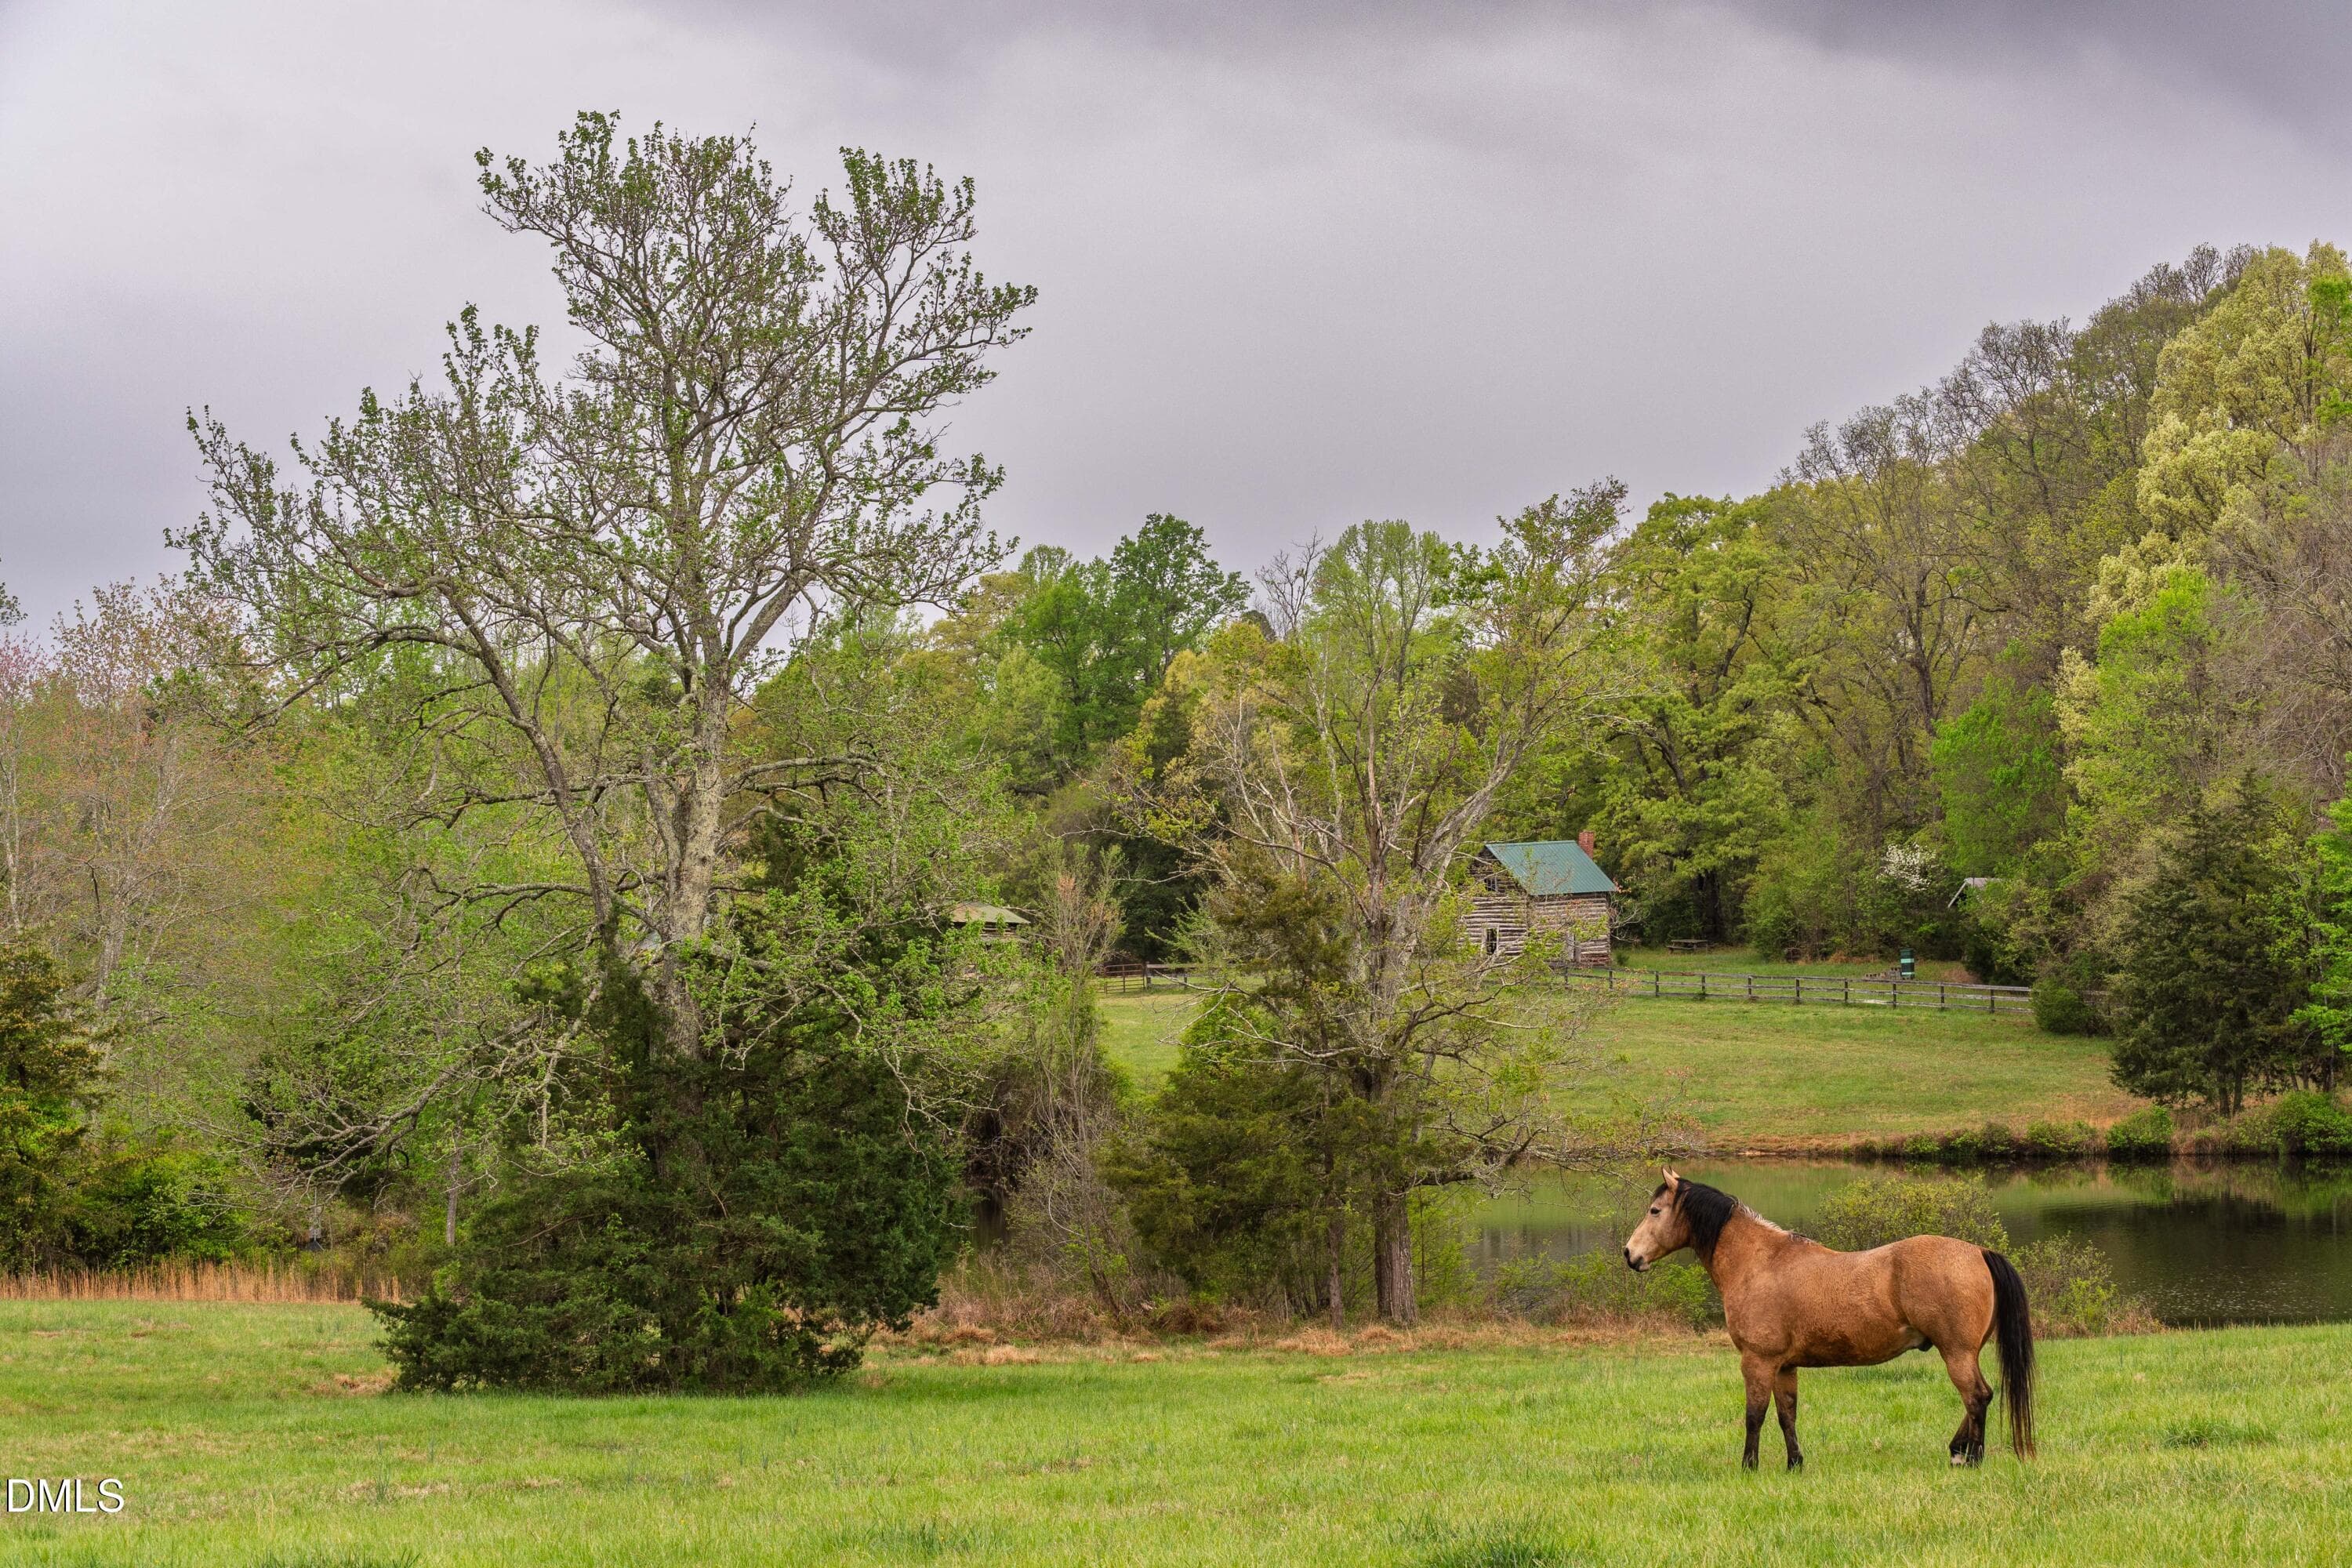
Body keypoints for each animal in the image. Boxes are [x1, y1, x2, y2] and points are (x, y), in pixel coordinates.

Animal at [1622, 1169, 2035, 1470]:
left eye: (1655, 1211)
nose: (1629, 1254)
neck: (1760, 1262)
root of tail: (1979, 1251)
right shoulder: (1784, 1366)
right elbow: (1787, 1415)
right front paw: (1795, 1464)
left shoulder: (1758, 1361)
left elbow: (1754, 1415)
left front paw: (1748, 1466)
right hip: (1964, 1353)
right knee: (1977, 1398)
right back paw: (1958, 1451)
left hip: (1956, 1353)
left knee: (1977, 1397)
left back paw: (1972, 1458)